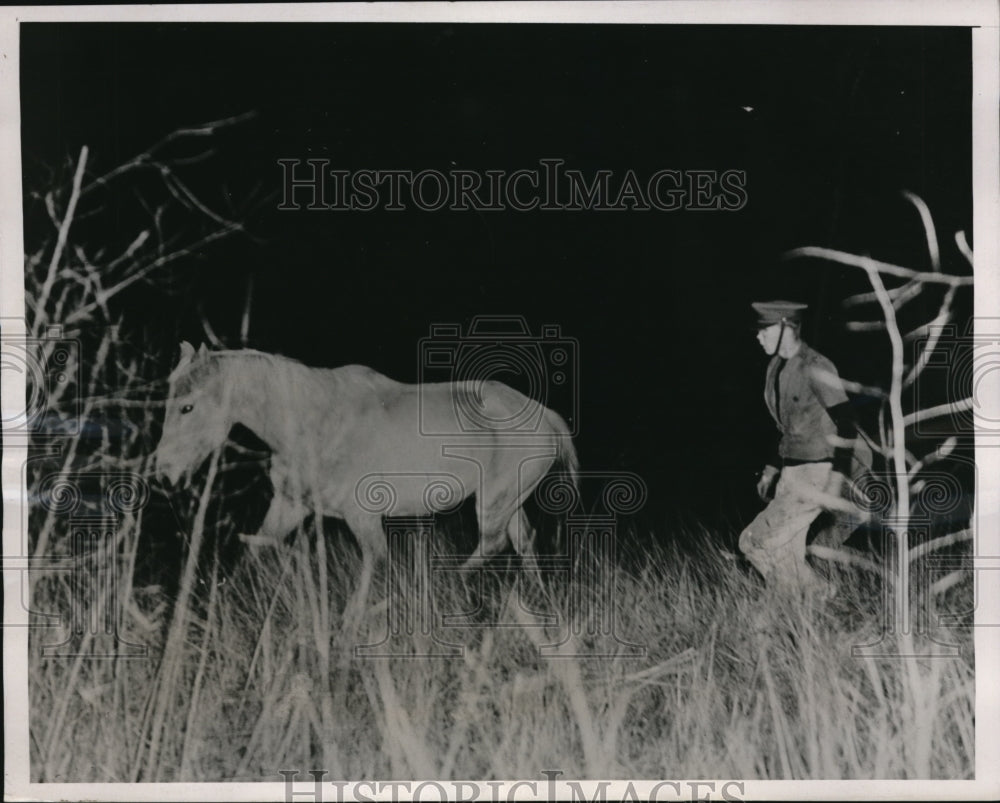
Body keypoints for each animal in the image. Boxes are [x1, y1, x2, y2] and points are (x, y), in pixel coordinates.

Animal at [153, 342, 579, 607]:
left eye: (188, 407)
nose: (163, 474)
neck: (313, 421)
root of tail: (547, 416)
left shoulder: (364, 518)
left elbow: (376, 568)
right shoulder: (290, 506)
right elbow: (253, 552)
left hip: (493, 501)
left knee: (494, 544)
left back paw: (446, 583)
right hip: (507, 501)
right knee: (523, 541)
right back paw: (537, 598)